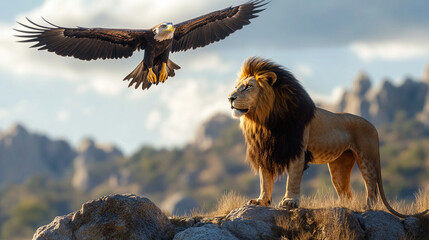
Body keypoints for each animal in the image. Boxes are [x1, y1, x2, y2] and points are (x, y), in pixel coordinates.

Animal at [227, 57, 424, 218]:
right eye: (236, 86)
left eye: (248, 86)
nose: (230, 98)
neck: (264, 121)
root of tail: (373, 125)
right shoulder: (264, 151)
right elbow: (265, 180)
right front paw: (261, 201)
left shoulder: (297, 150)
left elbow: (293, 179)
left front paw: (290, 201)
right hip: (339, 166)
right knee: (347, 194)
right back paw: (342, 207)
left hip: (367, 158)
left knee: (372, 186)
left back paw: (367, 207)